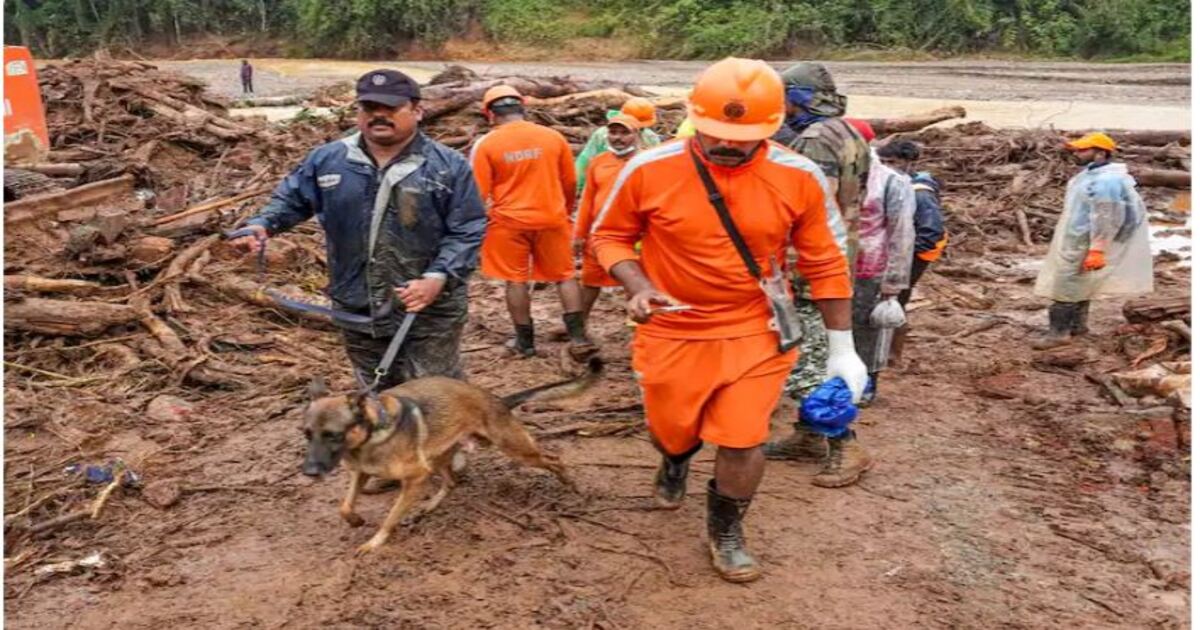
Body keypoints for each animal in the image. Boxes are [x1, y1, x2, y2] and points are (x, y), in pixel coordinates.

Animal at [300, 355, 600, 552]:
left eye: (333, 435)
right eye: (306, 433)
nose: (309, 472)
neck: (371, 435)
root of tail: (497, 401)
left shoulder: (416, 477)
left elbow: (390, 517)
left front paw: (375, 542)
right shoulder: (361, 473)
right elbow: (344, 506)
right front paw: (355, 520)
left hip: (516, 450)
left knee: (554, 459)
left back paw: (571, 486)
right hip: (440, 457)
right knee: (452, 482)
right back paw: (428, 506)